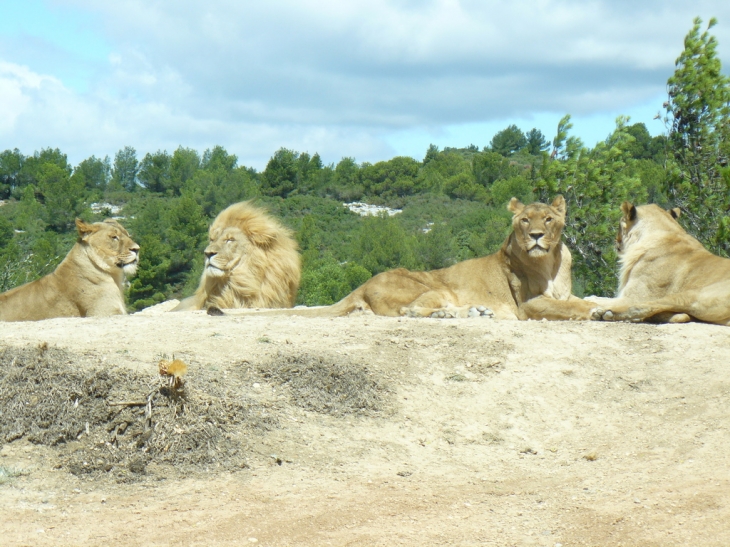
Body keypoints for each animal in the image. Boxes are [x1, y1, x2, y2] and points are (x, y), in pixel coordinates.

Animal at [226, 196, 592, 322]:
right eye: (524, 221)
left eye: (548, 219)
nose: (536, 237)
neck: (551, 264)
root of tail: (362, 284)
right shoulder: (527, 305)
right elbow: (570, 308)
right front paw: (596, 313)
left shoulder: (564, 292)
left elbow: (583, 299)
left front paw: (599, 307)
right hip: (431, 285)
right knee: (411, 310)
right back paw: (460, 314)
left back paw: (473, 312)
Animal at [584, 204, 728, 328]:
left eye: (619, 225)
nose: (615, 241)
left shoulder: (633, 296)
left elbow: (603, 299)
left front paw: (592, 298)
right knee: (680, 315)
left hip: (693, 295)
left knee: (643, 306)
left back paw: (604, 313)